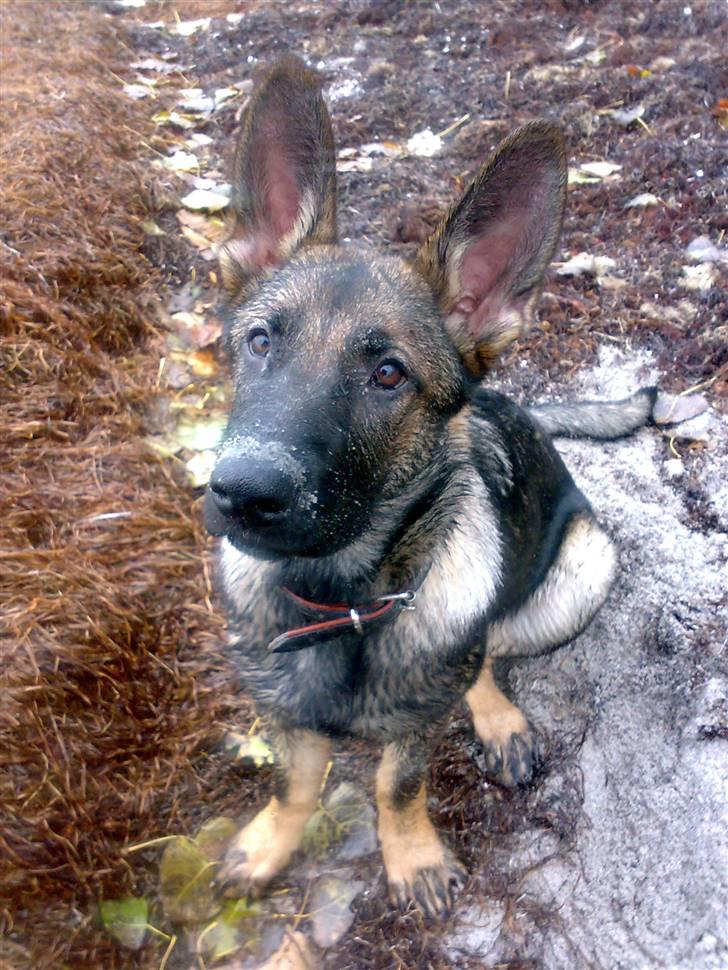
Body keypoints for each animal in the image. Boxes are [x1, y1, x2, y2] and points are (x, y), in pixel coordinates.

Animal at [203, 54, 660, 916]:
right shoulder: (280, 707)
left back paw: (499, 720)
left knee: (486, 651)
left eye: (389, 374)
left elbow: (399, 784)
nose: (241, 491)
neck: (339, 602)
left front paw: (410, 856)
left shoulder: (415, 723)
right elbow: (294, 784)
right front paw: (269, 843)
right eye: (259, 341)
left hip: (580, 574)